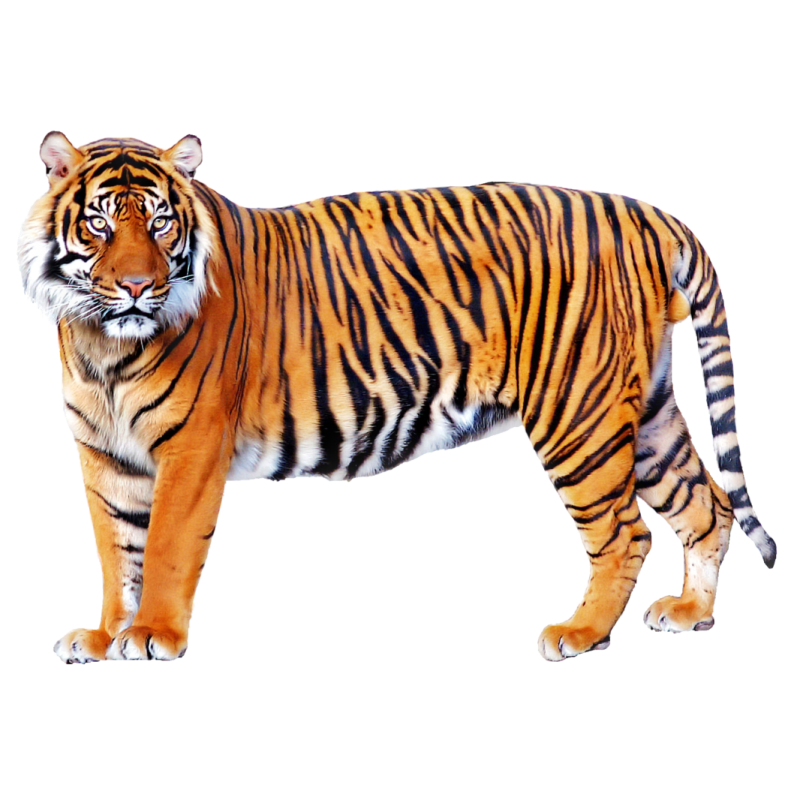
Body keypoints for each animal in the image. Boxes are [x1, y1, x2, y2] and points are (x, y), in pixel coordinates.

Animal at [18, 131, 776, 663]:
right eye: (99, 224)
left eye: (160, 224)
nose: (138, 287)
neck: (103, 345)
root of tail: (649, 213)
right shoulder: (105, 455)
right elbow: (117, 551)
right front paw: (106, 635)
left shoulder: (192, 447)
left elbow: (166, 547)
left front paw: (152, 634)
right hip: (645, 412)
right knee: (704, 505)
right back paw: (690, 614)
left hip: (578, 414)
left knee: (626, 533)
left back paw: (581, 633)